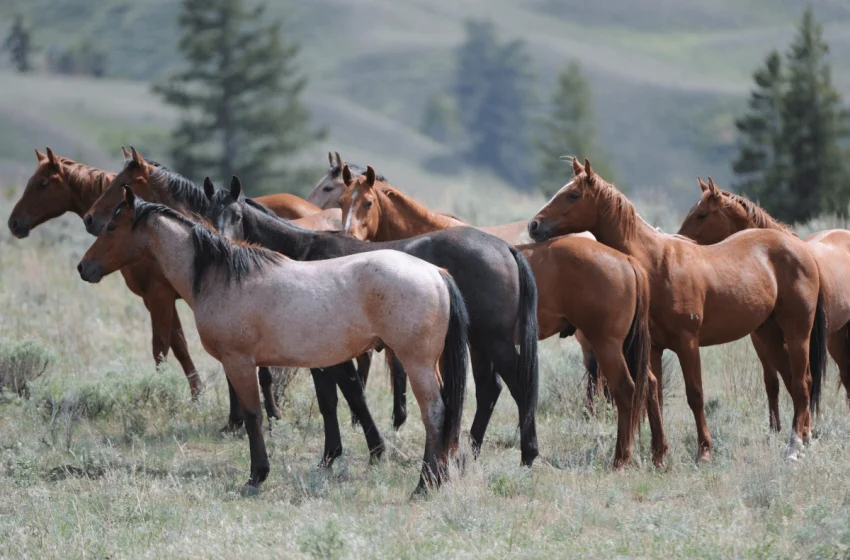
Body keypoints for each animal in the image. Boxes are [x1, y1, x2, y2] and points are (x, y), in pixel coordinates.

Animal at [76, 188, 468, 494]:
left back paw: (423, 485)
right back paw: (436, 480)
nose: (83, 267)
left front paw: (256, 477)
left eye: (112, 226)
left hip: (416, 363)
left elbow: (253, 415)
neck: (223, 276)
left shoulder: (239, 362)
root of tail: (436, 273)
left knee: (435, 413)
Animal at [203, 173, 540, 466]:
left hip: (494, 342)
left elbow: (343, 398)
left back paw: (528, 453)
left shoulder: (328, 356)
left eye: (236, 215)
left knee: (518, 387)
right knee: (489, 389)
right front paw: (355, 451)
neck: (302, 253)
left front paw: (344, 454)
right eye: (206, 213)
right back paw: (469, 451)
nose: (219, 242)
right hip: (479, 342)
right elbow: (342, 398)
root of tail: (504, 247)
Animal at [528, 156, 824, 460]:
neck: (656, 264)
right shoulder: (655, 349)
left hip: (797, 334)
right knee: (793, 380)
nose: (534, 226)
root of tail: (800, 248)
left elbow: (695, 395)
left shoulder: (687, 343)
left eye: (573, 195)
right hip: (769, 335)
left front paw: (704, 451)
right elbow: (653, 395)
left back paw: (795, 445)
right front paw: (659, 455)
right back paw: (803, 438)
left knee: (801, 384)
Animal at [680, 175, 850, 420]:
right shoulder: (762, 341)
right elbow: (773, 384)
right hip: (835, 338)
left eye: (701, 215)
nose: (680, 242)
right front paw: (775, 426)